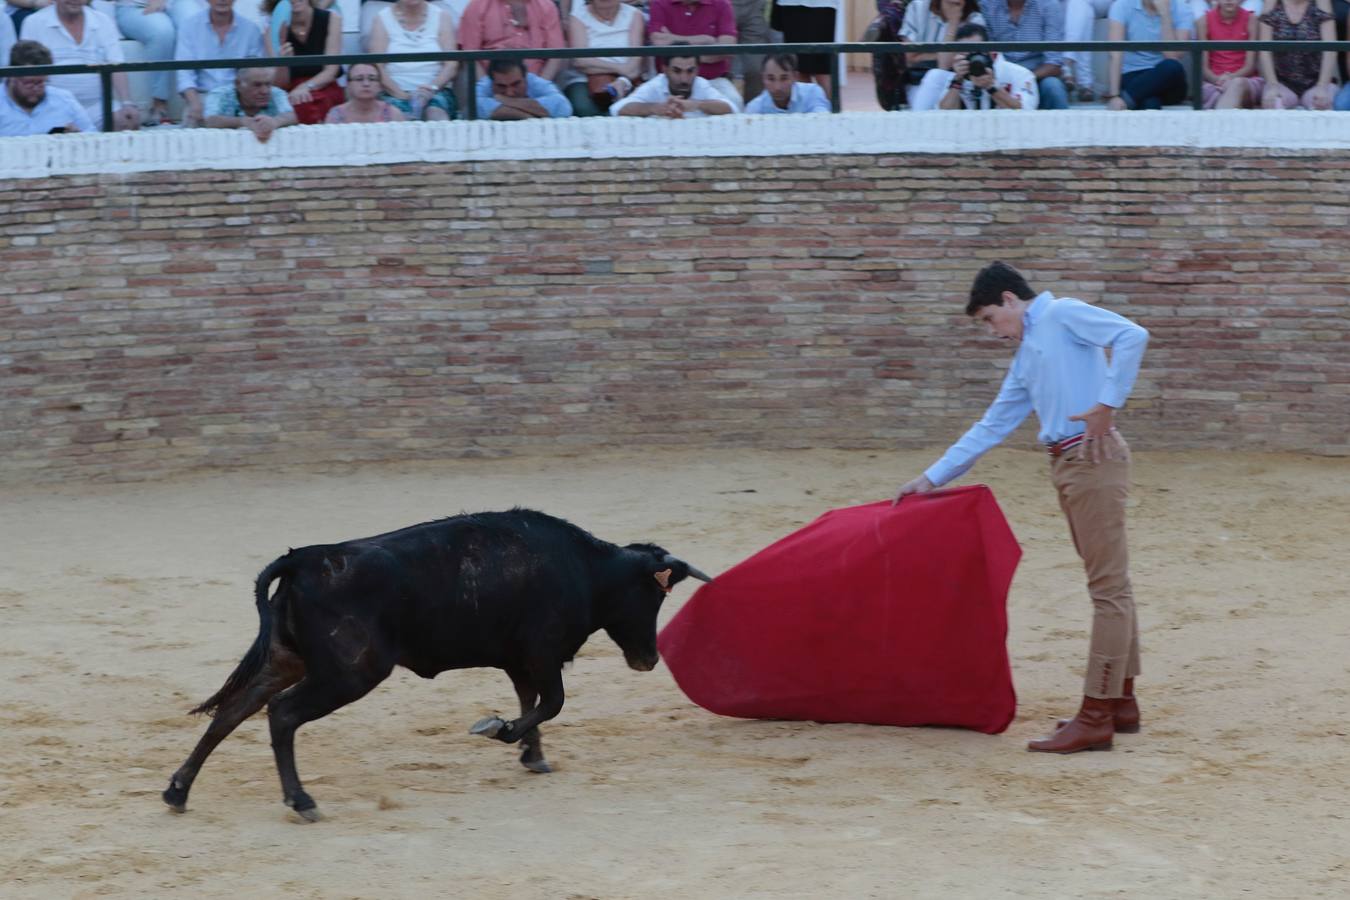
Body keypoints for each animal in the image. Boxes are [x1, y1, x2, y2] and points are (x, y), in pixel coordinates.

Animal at [159, 510, 712, 820]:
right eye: (653, 596)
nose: (648, 658)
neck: (586, 567)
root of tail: (305, 559)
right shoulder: (541, 652)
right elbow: (551, 702)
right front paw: (499, 731)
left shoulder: (518, 660)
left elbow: (531, 701)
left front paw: (530, 753)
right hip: (351, 673)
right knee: (282, 714)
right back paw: (301, 801)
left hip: (287, 660)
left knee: (233, 711)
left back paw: (177, 791)